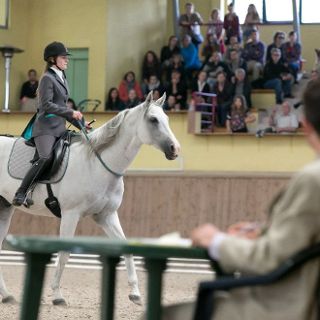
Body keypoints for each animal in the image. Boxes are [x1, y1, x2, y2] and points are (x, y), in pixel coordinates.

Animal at [0, 92, 180, 304]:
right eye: (153, 120)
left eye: (167, 118)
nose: (175, 149)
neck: (96, 164)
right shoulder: (71, 215)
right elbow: (64, 253)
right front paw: (57, 295)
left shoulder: (106, 215)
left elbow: (127, 247)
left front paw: (135, 294)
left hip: (4, 209)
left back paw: (6, 295)